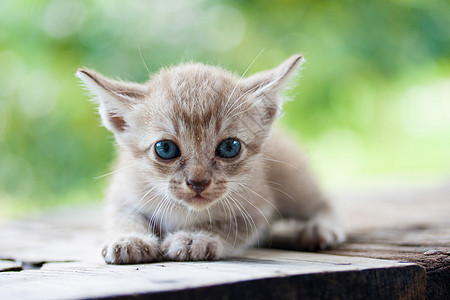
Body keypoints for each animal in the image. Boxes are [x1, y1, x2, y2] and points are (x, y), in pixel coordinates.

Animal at [76, 54, 344, 264]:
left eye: (229, 147)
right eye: (165, 148)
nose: (198, 182)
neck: (183, 211)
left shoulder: (258, 205)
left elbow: (230, 226)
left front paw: (196, 238)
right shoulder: (123, 190)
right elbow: (124, 216)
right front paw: (129, 239)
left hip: (294, 182)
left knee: (324, 202)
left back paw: (321, 229)